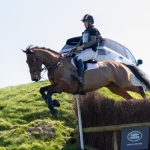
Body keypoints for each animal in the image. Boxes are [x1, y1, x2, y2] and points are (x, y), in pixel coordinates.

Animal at [22, 46, 150, 116]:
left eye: (32, 60)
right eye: (27, 62)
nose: (35, 78)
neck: (58, 64)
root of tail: (121, 64)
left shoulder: (65, 85)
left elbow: (49, 92)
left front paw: (54, 109)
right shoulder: (56, 84)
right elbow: (42, 90)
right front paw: (55, 103)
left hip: (124, 83)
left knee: (140, 89)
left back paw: (145, 103)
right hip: (115, 88)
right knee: (131, 97)